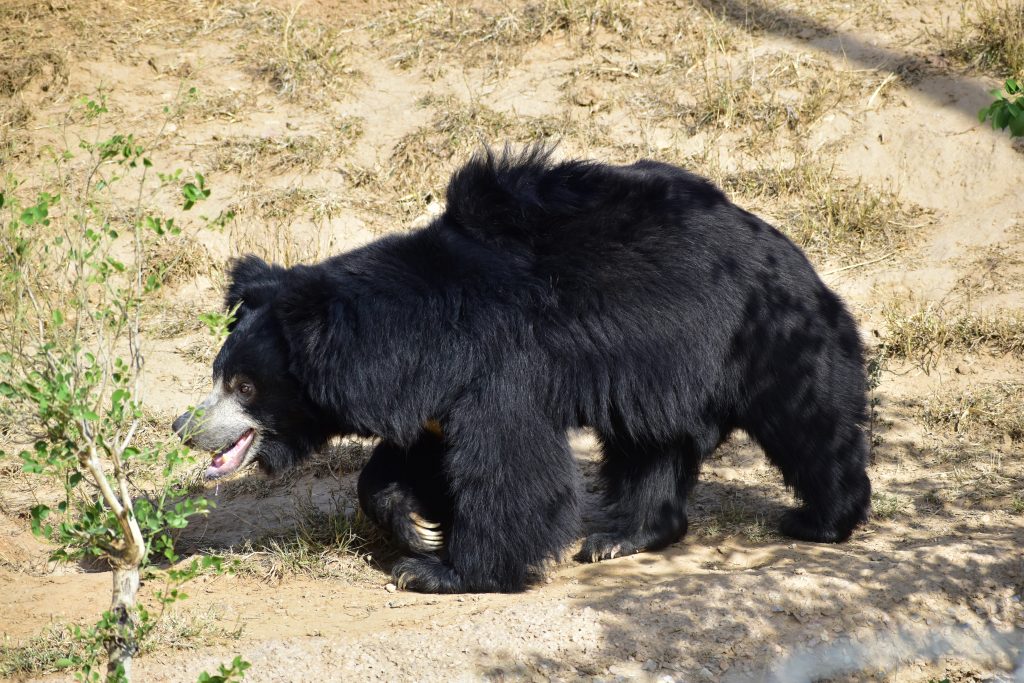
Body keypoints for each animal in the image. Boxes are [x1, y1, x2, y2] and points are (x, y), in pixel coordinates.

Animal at [174, 148, 872, 593]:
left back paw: (822, 519)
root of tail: (781, 243)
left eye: (244, 387)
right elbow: (409, 461)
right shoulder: (438, 393)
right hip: (662, 367)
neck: (411, 339)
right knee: (653, 446)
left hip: (762, 332)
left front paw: (441, 573)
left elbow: (509, 466)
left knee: (808, 419)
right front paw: (420, 528)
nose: (184, 427)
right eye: (217, 373)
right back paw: (622, 536)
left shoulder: (498, 367)